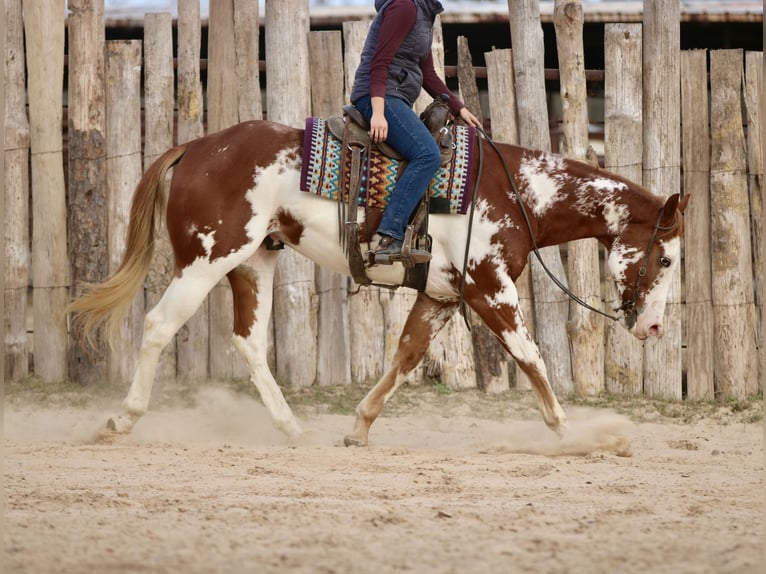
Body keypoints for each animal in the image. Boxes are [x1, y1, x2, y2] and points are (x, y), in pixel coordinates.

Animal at [68, 118, 689, 446]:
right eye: (665, 261)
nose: (655, 327)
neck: (516, 194)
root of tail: (193, 148)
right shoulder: (488, 288)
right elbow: (529, 354)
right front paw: (571, 433)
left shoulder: (441, 295)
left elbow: (405, 356)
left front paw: (359, 427)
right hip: (205, 260)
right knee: (157, 324)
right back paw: (120, 420)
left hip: (253, 261)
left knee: (248, 341)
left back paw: (291, 427)